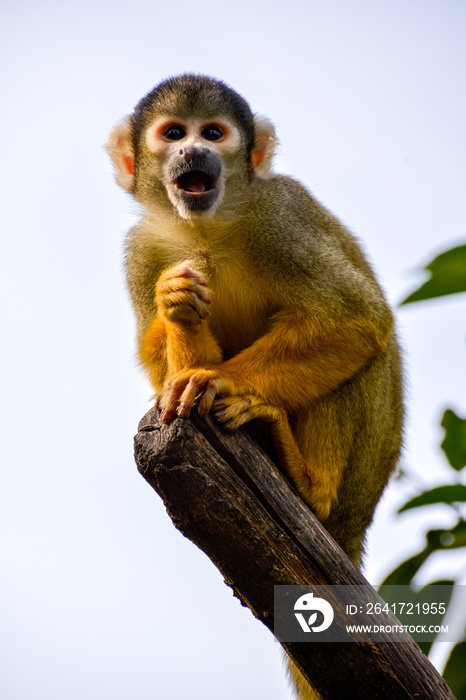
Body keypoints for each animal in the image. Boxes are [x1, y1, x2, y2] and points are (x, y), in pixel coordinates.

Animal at [105, 75, 400, 700]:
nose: (196, 151)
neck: (206, 225)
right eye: (175, 133)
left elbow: (357, 320)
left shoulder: (280, 217)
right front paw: (178, 310)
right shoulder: (140, 250)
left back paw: (307, 483)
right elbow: (164, 377)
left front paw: (217, 379)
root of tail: (354, 527)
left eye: (214, 133)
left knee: (367, 353)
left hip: (363, 476)